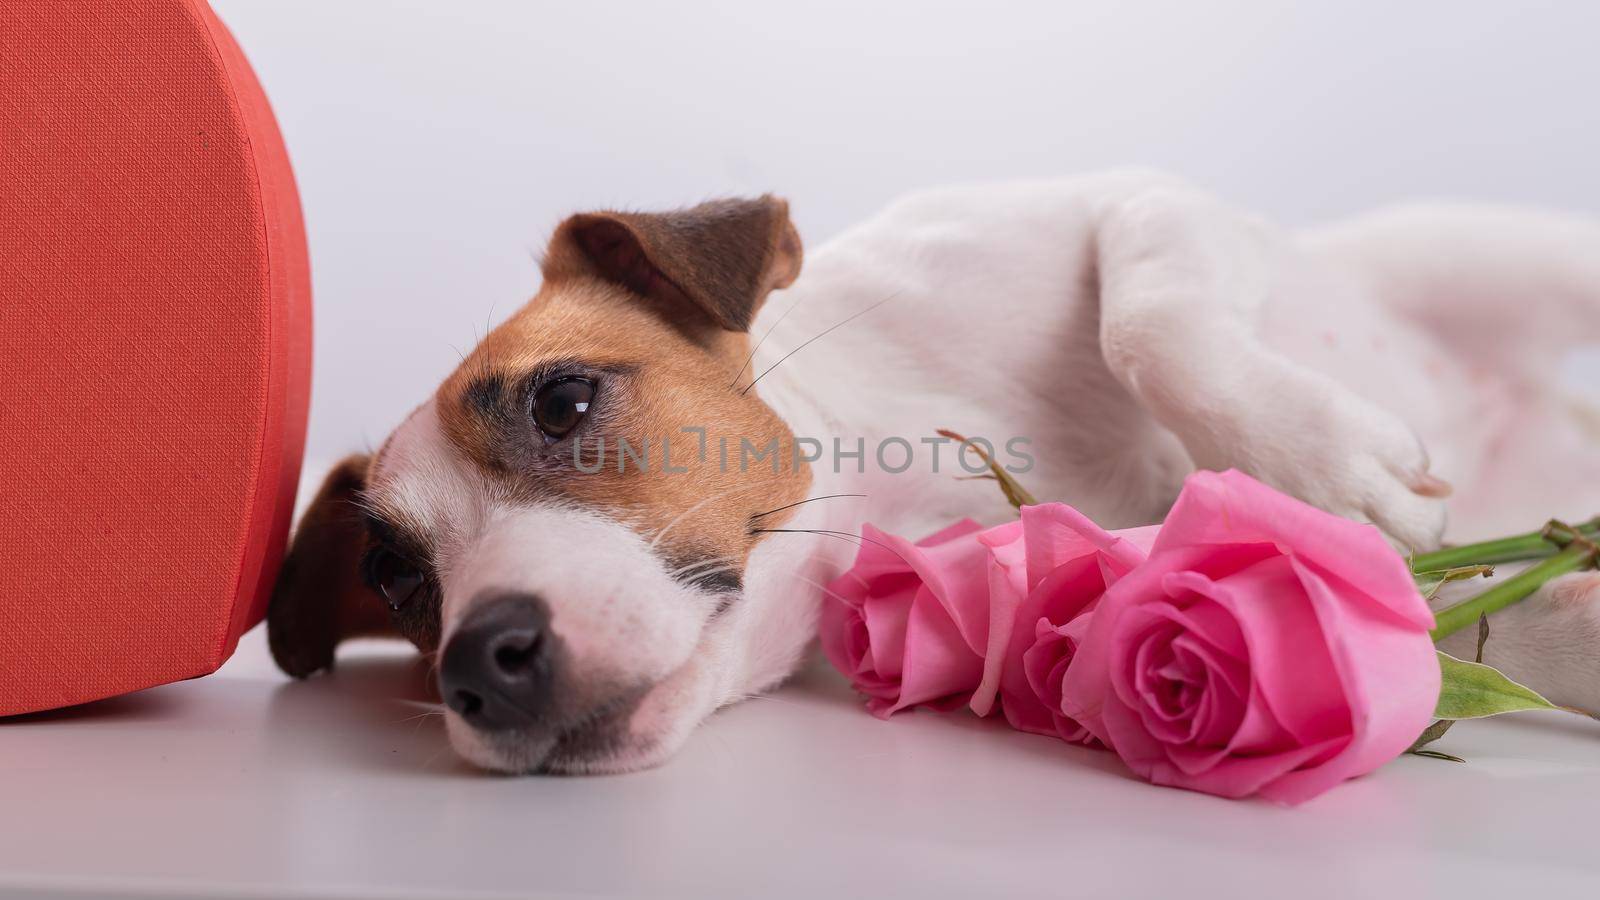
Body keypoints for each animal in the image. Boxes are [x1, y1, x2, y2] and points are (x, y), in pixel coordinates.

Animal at [265, 169, 1600, 771]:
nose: (479, 662)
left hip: (1506, 257)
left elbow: (1150, 321)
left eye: (562, 398)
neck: (893, 476)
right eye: (393, 576)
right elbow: (1445, 624)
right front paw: (1554, 622)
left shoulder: (1133, 204)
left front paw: (1336, 466)